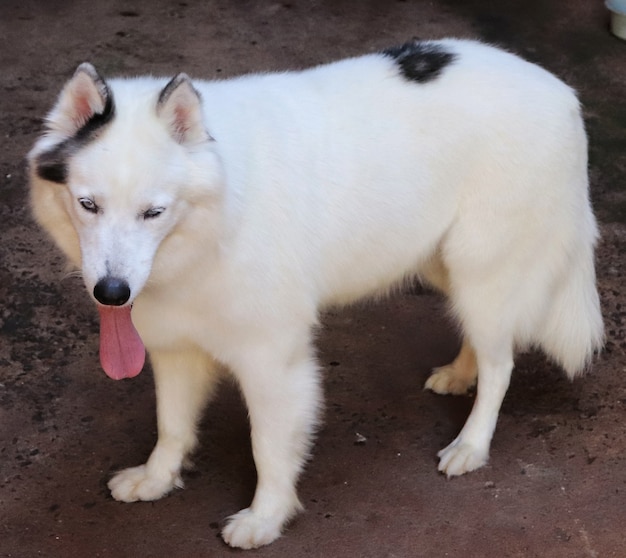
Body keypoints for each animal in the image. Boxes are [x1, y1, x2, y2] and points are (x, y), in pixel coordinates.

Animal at [26, 40, 604, 552]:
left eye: (154, 212)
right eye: (88, 205)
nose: (112, 293)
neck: (220, 215)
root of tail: (559, 90)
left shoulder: (272, 360)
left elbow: (268, 447)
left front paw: (265, 518)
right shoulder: (175, 347)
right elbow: (170, 426)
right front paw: (157, 478)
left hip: (480, 268)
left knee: (501, 362)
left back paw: (472, 444)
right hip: (447, 267)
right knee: (484, 342)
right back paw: (462, 373)